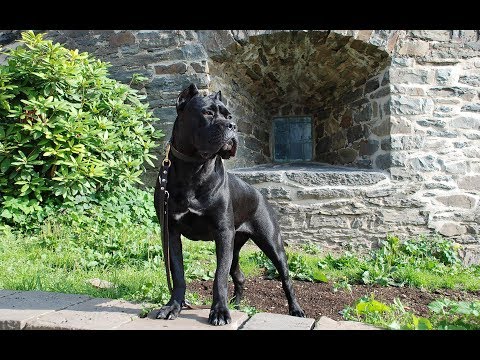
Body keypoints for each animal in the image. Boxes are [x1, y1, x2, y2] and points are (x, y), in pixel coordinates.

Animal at [152, 83, 306, 324]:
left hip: (271, 243)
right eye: (207, 113)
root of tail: (260, 194)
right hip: (236, 243)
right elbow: (178, 273)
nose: (233, 126)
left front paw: (219, 311)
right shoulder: (170, 231)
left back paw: (295, 309)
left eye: (229, 115)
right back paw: (236, 303)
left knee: (286, 279)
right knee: (239, 275)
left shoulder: (223, 233)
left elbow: (219, 276)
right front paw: (173, 306)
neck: (193, 168)